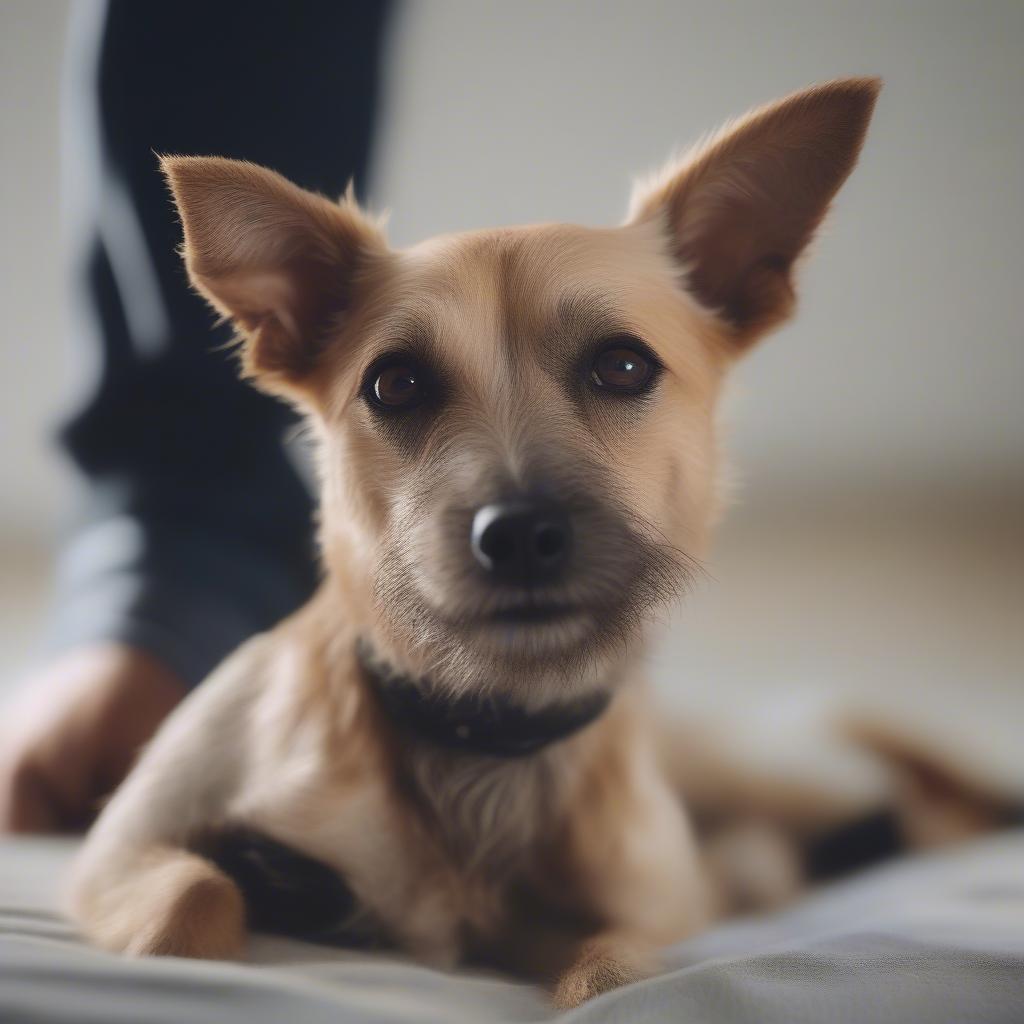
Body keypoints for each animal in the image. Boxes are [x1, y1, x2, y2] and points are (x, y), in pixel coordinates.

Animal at [72, 79, 884, 1007]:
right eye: (395, 383)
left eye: (624, 367)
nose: (521, 535)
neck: (484, 732)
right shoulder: (121, 846)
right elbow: (193, 903)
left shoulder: (655, 913)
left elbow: (618, 971)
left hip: (773, 774)